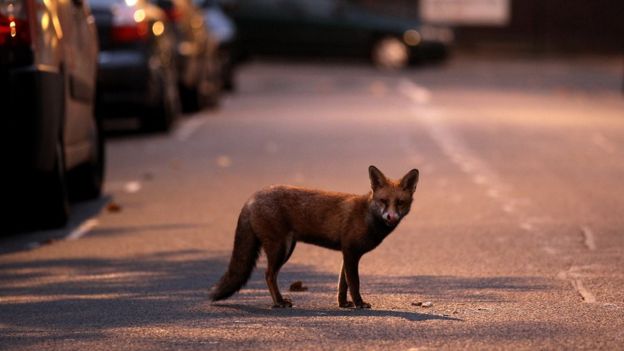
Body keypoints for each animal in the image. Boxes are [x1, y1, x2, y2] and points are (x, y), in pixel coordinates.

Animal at [210, 166, 420, 310]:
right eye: (383, 201)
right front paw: (359, 303)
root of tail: (252, 197)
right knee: (269, 274)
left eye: (400, 203)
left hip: (287, 247)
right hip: (281, 248)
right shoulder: (351, 252)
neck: (367, 216)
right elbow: (354, 283)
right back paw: (279, 302)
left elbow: (342, 284)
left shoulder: (346, 253)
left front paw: (344, 304)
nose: (391, 217)